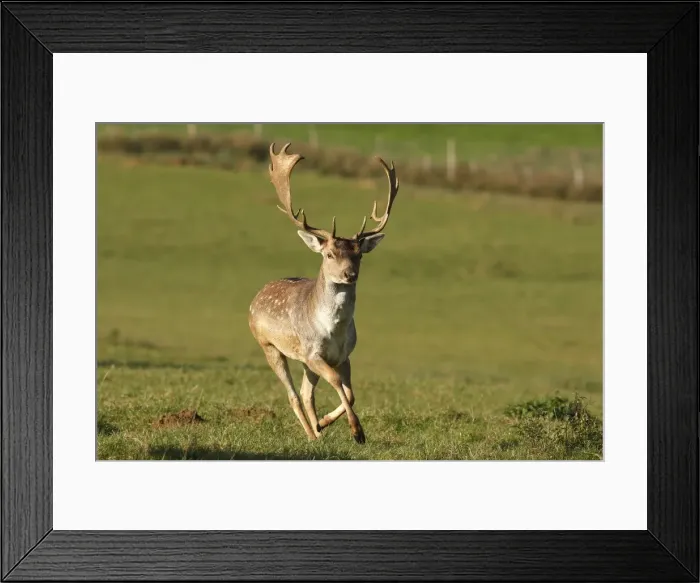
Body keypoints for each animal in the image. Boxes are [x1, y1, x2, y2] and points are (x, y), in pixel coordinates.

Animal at [248, 143, 399, 444]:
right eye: (329, 254)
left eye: (359, 255)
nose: (350, 274)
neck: (333, 329)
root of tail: (256, 296)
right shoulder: (312, 352)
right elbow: (337, 383)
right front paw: (357, 431)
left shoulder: (343, 355)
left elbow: (350, 393)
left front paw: (331, 423)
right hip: (269, 346)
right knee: (294, 395)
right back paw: (311, 435)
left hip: (304, 361)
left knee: (307, 394)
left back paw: (317, 428)